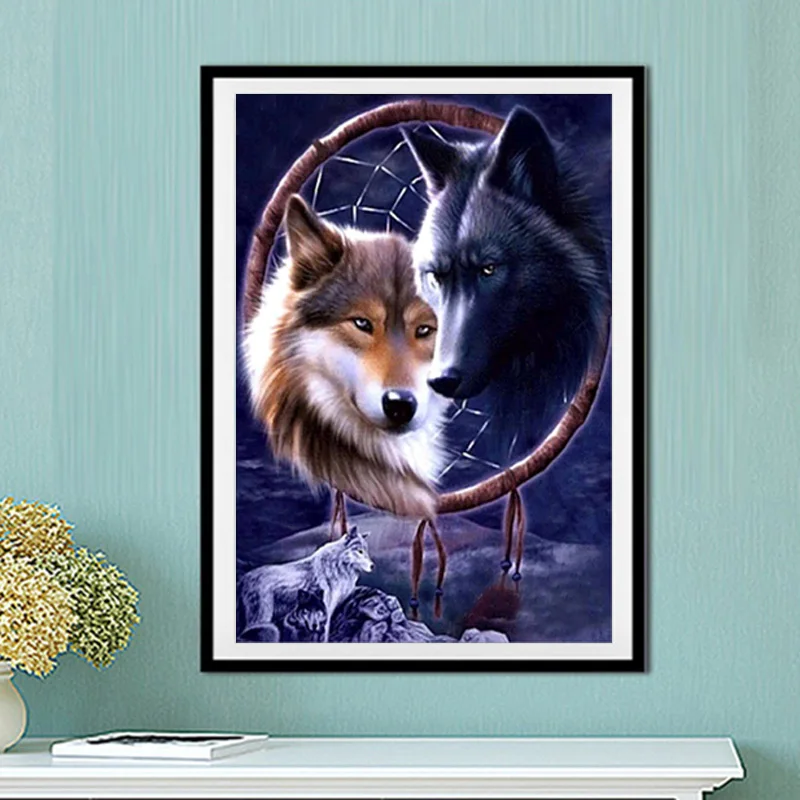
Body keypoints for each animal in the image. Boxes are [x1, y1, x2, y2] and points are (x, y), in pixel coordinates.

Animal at [237, 526, 374, 643]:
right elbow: (324, 634)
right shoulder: (326, 609)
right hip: (262, 618)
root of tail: (244, 578)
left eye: (366, 551)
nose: (373, 566)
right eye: (360, 551)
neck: (337, 566)